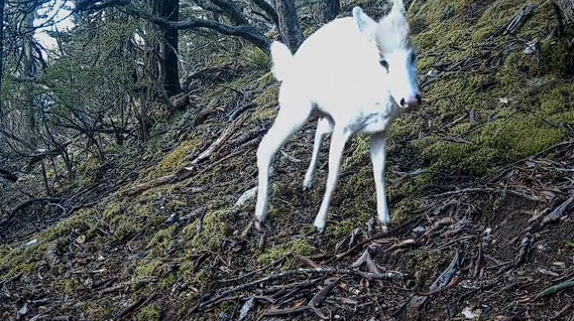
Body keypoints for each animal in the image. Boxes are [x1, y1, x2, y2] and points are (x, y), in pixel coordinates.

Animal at [256, 0, 424, 231]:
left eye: (412, 55)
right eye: (383, 62)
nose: (410, 99)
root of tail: (289, 66)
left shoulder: (380, 130)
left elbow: (379, 172)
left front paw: (384, 219)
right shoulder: (344, 125)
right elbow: (333, 176)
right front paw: (319, 223)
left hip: (325, 113)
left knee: (319, 130)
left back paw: (307, 181)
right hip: (296, 108)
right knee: (265, 147)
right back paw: (259, 215)